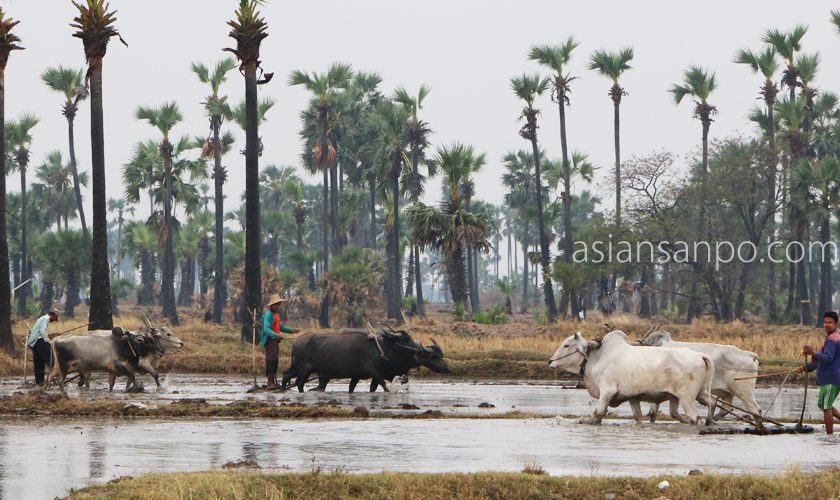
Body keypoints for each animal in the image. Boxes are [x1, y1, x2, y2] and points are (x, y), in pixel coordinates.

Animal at [282, 328, 450, 394]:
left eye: (441, 355)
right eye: (434, 356)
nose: (447, 369)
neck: (383, 349)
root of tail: (296, 342)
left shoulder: (358, 376)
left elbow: (359, 388)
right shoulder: (373, 372)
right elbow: (384, 385)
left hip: (298, 368)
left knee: (286, 376)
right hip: (305, 369)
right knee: (299, 383)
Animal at [552, 330, 716, 424]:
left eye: (566, 345)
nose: (550, 361)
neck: (598, 357)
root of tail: (700, 355)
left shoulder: (607, 391)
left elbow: (597, 415)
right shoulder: (632, 397)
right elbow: (637, 417)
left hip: (687, 397)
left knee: (694, 417)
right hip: (696, 394)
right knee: (712, 402)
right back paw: (709, 422)